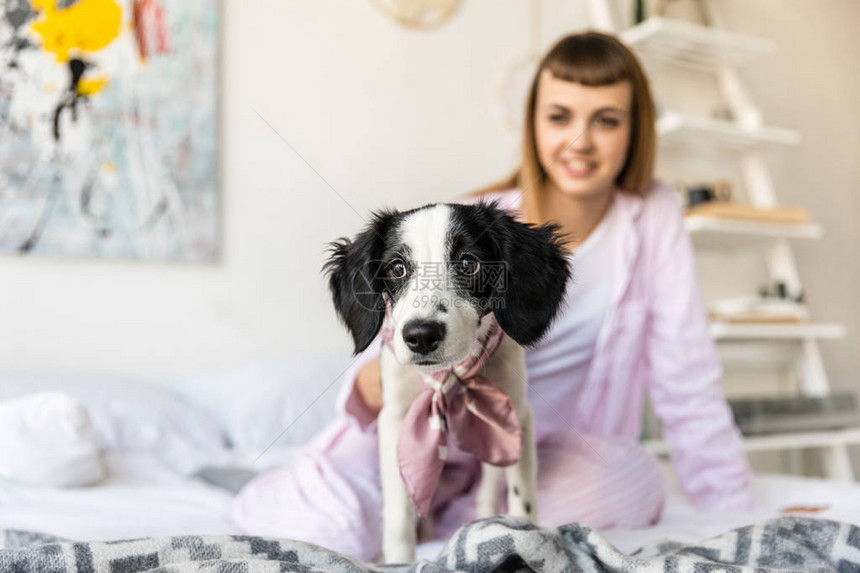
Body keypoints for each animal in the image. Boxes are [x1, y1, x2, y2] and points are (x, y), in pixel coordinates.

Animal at [324, 202, 572, 564]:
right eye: (397, 268)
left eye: (469, 264)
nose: (421, 335)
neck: (449, 377)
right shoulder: (394, 419)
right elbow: (398, 515)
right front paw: (399, 562)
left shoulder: (515, 414)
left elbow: (521, 495)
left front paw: (525, 537)